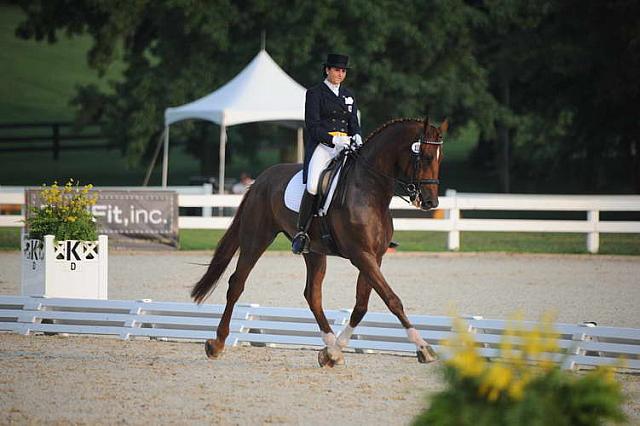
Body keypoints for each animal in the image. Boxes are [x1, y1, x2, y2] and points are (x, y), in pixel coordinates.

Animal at [192, 115, 448, 366]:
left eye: (439, 158)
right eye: (425, 157)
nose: (430, 202)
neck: (369, 191)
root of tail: (260, 180)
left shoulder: (375, 257)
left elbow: (361, 306)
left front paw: (334, 352)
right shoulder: (361, 255)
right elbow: (391, 299)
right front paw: (424, 347)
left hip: (314, 251)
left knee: (312, 295)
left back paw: (330, 346)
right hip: (256, 239)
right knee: (237, 284)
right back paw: (217, 343)